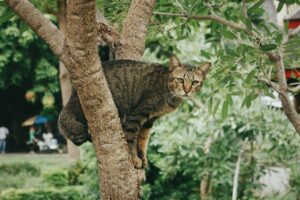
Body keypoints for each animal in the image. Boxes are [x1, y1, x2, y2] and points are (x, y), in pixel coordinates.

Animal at [58, 55, 212, 169]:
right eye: (180, 80)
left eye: (194, 83)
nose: (187, 90)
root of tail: (73, 94)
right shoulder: (137, 115)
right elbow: (131, 140)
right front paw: (134, 159)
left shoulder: (149, 121)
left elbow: (143, 141)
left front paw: (142, 158)